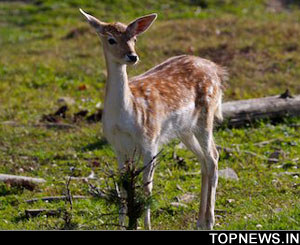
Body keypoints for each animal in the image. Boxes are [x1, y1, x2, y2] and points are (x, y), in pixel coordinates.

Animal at [79, 8, 227, 230]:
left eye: (134, 38)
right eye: (111, 39)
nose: (132, 56)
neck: (125, 117)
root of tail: (217, 71)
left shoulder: (150, 140)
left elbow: (146, 187)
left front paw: (146, 225)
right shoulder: (117, 146)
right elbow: (123, 187)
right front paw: (122, 224)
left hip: (205, 117)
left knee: (213, 157)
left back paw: (209, 220)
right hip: (185, 129)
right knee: (203, 159)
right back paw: (199, 220)